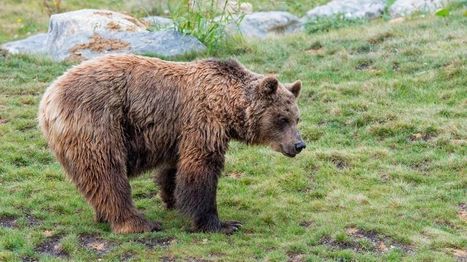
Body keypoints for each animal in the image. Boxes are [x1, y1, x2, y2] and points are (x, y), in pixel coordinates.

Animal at [38, 54, 306, 234]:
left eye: (296, 117)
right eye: (282, 119)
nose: (299, 144)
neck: (227, 108)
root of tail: (48, 98)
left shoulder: (178, 133)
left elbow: (174, 168)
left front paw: (172, 199)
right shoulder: (202, 122)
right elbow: (201, 170)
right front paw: (222, 223)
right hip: (99, 123)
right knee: (108, 174)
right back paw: (138, 222)